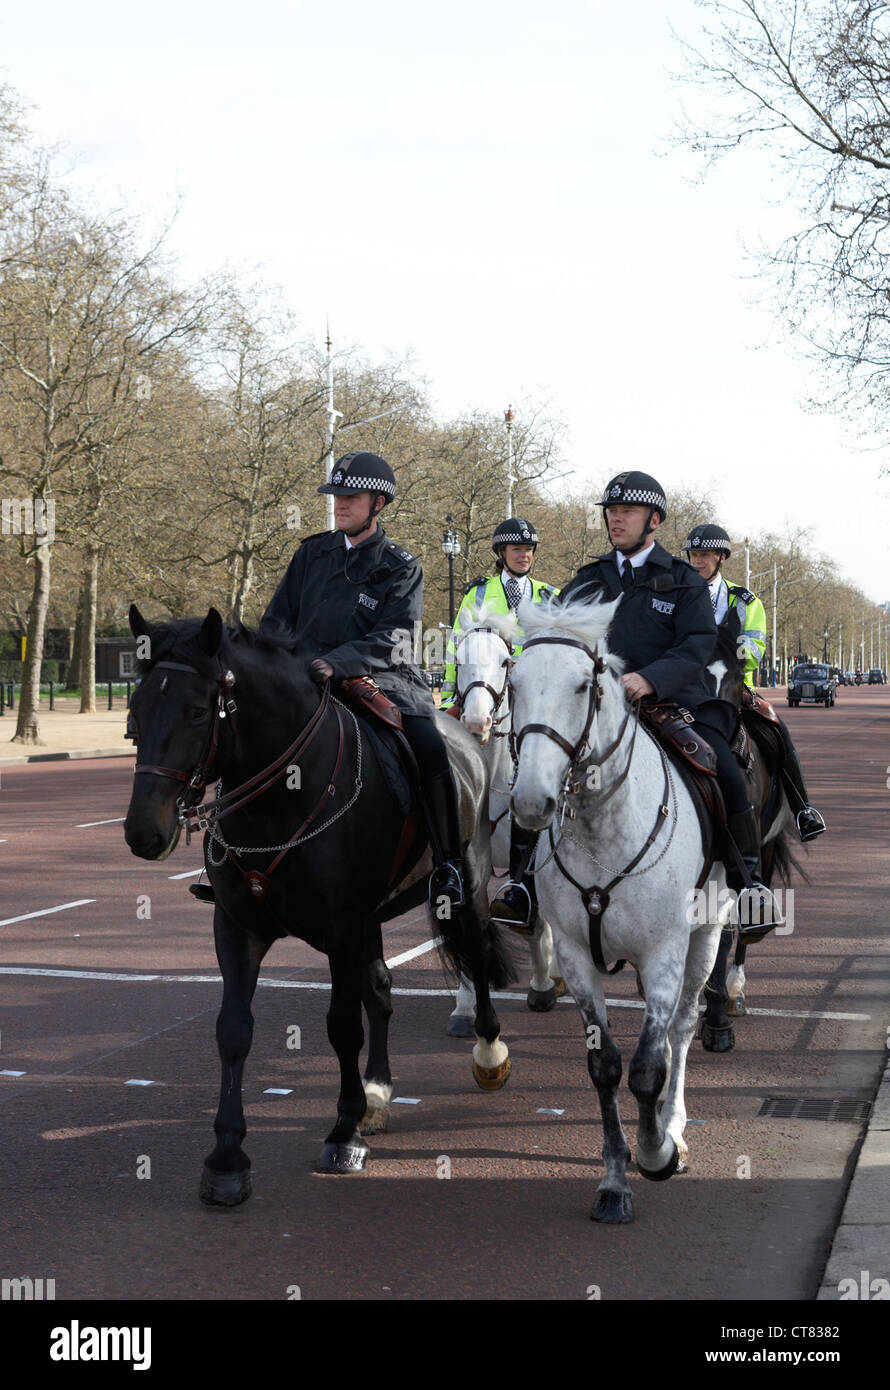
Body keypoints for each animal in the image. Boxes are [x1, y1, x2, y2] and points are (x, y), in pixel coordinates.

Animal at [125, 608, 514, 1206]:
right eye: (136, 709)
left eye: (196, 711)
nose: (144, 832)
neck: (281, 796)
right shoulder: (237, 927)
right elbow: (233, 1029)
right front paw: (227, 1157)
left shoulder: (343, 928)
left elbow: (341, 1026)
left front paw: (343, 1132)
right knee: (381, 988)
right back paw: (378, 1089)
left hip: (464, 887)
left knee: (473, 952)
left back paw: (488, 1054)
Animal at [445, 606, 561, 1034]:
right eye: (458, 659)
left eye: (504, 662)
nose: (477, 723)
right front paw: (465, 1009)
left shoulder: (529, 849)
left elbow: (534, 920)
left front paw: (542, 986)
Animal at [503, 592, 734, 1223]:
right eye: (514, 681)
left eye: (585, 685)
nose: (531, 800)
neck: (603, 829)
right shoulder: (577, 959)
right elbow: (605, 1068)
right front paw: (614, 1179)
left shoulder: (663, 956)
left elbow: (648, 1068)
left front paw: (657, 1152)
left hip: (706, 937)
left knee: (682, 1027)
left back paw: (674, 1125)